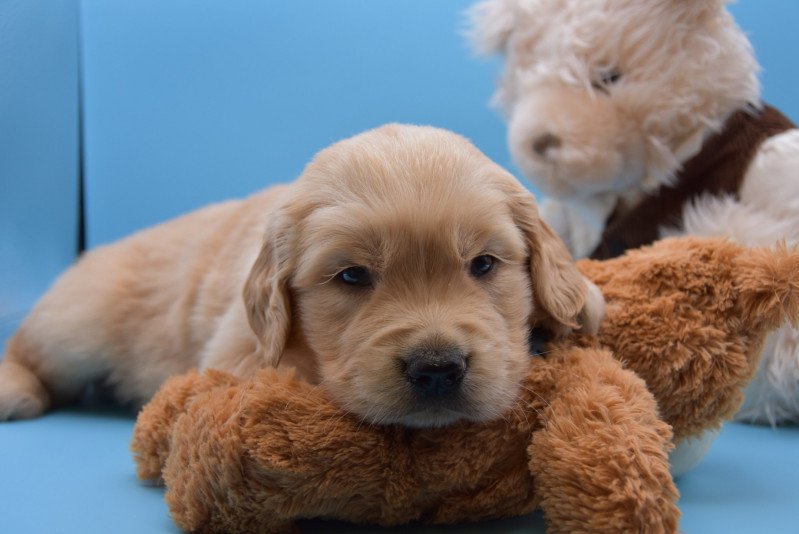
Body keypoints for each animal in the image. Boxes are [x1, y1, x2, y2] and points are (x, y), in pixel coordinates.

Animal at [0, 124, 600, 428]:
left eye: (483, 264)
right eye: (352, 276)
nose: (436, 369)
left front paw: (581, 300)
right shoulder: (237, 353)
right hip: (76, 324)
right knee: (29, 349)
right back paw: (15, 389)